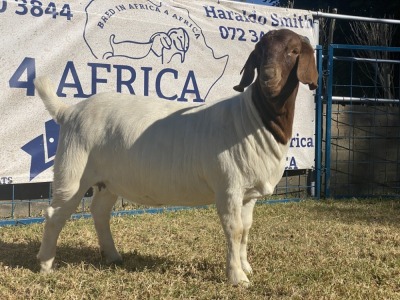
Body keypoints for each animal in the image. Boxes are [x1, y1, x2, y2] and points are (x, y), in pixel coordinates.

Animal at [34, 28, 318, 286]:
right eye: (259, 53)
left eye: (293, 51)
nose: (269, 77)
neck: (253, 118)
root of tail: (69, 112)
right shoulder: (229, 187)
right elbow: (234, 230)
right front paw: (237, 278)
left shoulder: (249, 194)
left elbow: (246, 229)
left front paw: (245, 266)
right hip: (73, 171)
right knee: (55, 213)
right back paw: (46, 265)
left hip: (109, 181)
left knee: (100, 212)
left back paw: (112, 255)